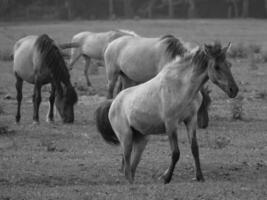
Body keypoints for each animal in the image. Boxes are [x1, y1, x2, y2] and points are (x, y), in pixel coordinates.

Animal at [96, 41, 239, 184]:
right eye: (216, 66)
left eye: (229, 64)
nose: (234, 90)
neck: (182, 87)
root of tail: (113, 102)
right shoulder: (171, 123)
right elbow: (176, 153)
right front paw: (166, 177)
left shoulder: (191, 120)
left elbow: (195, 148)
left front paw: (200, 176)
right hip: (126, 137)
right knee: (127, 164)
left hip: (141, 140)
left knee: (130, 165)